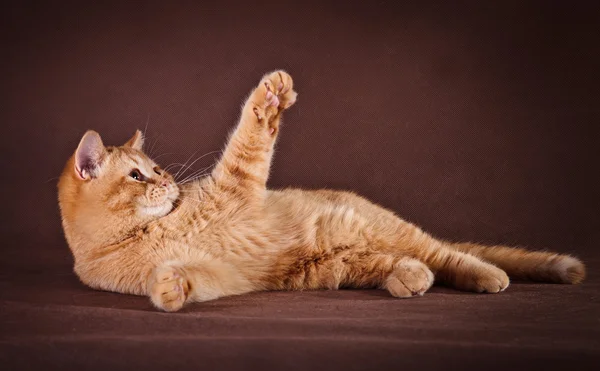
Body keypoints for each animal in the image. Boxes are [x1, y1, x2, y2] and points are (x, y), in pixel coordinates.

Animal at [57, 70, 584, 310]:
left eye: (157, 168)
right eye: (137, 176)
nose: (168, 181)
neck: (150, 232)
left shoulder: (237, 185)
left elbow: (249, 137)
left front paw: (271, 97)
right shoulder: (220, 275)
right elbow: (189, 279)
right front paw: (169, 289)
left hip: (393, 232)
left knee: (453, 256)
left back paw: (487, 275)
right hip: (342, 265)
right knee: (420, 266)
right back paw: (409, 278)